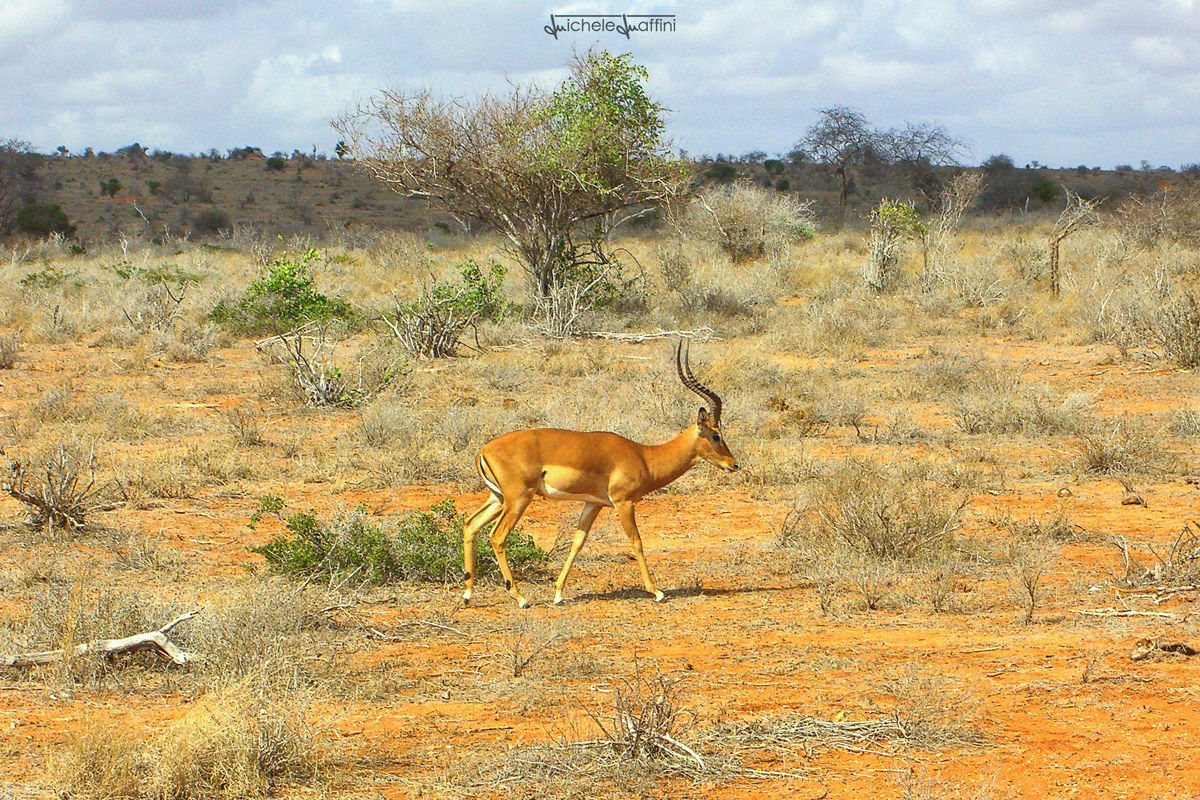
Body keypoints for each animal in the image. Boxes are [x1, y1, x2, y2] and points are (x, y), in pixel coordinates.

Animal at [461, 339, 739, 608]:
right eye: (716, 435)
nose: (733, 464)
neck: (644, 456)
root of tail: (484, 450)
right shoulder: (623, 502)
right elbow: (636, 541)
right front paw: (657, 591)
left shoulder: (592, 504)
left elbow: (577, 542)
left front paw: (558, 594)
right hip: (518, 499)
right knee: (497, 536)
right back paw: (520, 598)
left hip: (498, 498)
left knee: (470, 524)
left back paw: (467, 595)